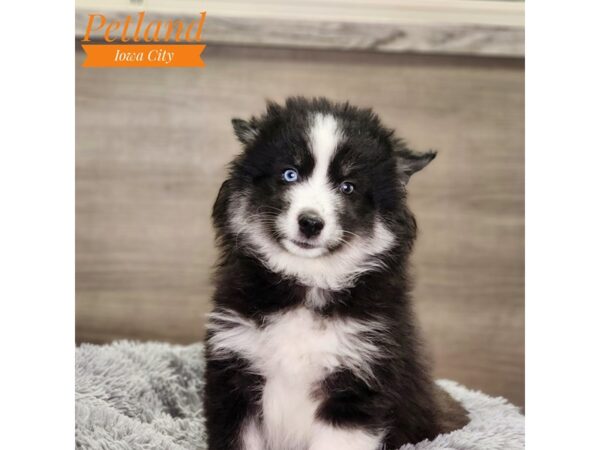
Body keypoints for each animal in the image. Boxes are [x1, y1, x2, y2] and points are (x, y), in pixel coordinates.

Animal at [204, 98, 466, 450]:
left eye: (348, 187)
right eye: (289, 174)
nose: (310, 223)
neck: (308, 281)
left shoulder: (356, 385)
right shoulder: (233, 373)